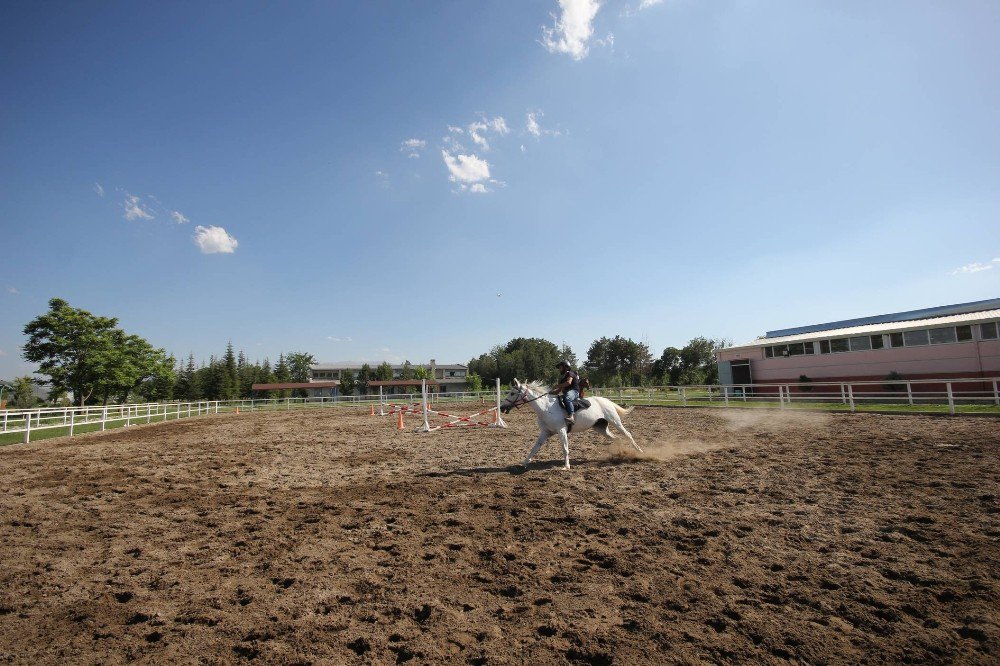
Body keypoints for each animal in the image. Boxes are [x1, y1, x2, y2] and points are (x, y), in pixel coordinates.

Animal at [498, 376, 644, 470]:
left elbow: (565, 448)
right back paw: (619, 454)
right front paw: (525, 462)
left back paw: (640, 451)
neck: (546, 407)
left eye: (512, 393)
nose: (502, 408)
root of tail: (606, 401)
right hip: (601, 428)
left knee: (628, 435)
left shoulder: (561, 430)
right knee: (616, 438)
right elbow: (535, 447)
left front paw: (566, 466)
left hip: (615, 421)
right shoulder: (545, 432)